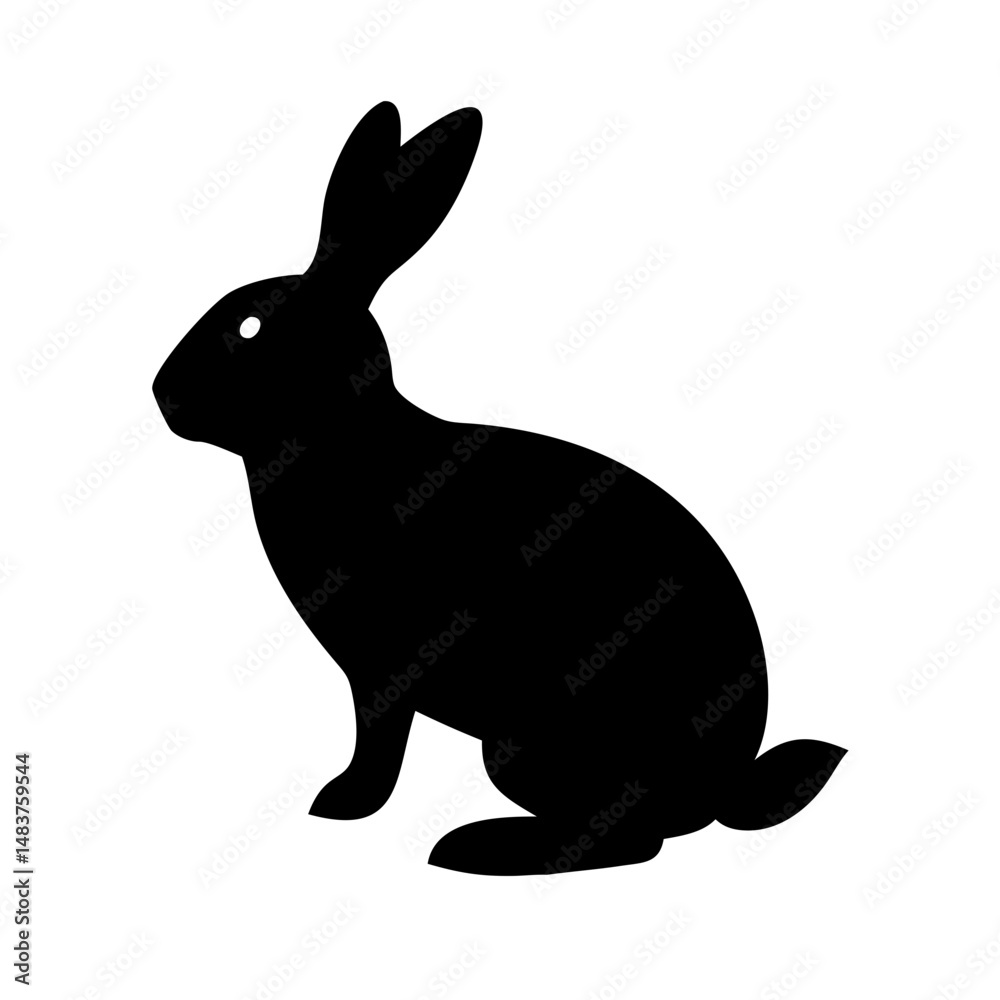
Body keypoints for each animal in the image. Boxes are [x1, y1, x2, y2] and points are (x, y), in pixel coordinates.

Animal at [152, 101, 846, 875]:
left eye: (248, 327)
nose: (161, 394)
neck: (346, 442)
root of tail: (725, 785)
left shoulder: (381, 669)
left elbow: (379, 740)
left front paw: (343, 801)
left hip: (523, 744)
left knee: (631, 837)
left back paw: (477, 847)